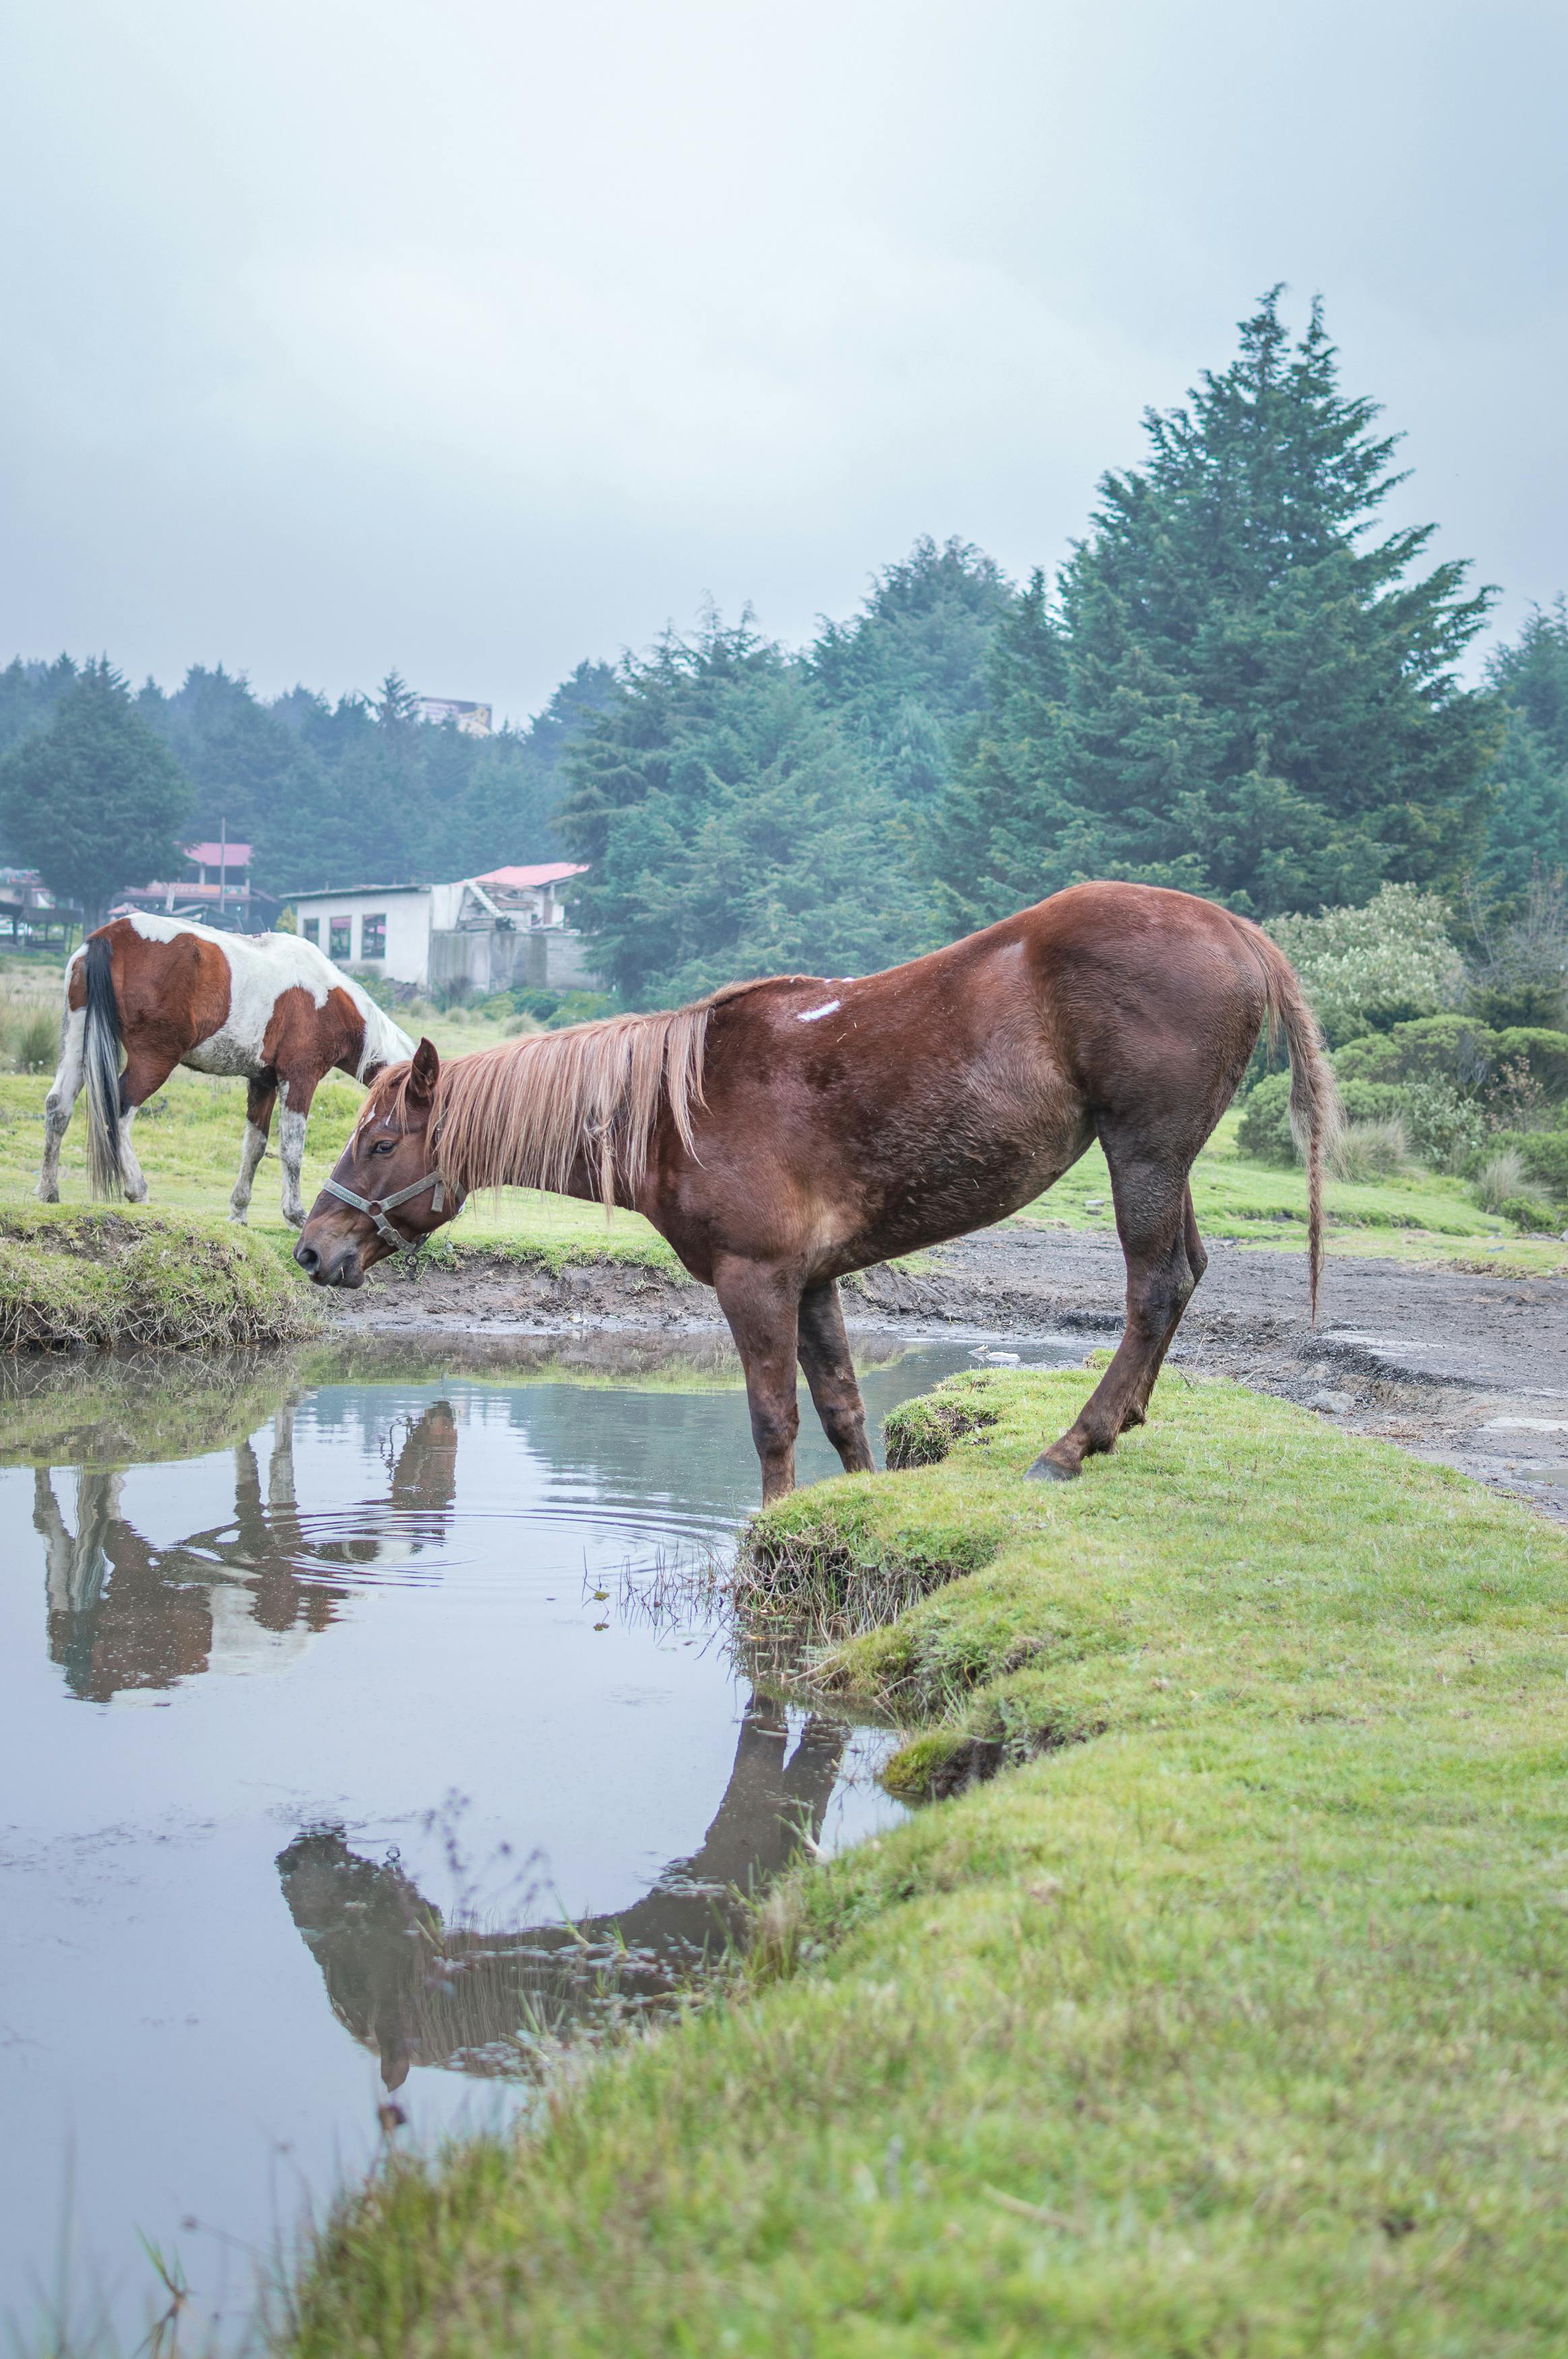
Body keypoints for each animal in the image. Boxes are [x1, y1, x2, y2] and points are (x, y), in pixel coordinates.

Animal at [38, 911, 412, 1227]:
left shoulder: (263, 1082)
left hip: (77, 1042)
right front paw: (296, 1215)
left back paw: (48, 1190)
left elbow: (255, 1147)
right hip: (154, 1060)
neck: (326, 996)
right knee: (117, 1112)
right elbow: (292, 1150)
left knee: (59, 1107)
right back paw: (137, 1189)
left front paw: (239, 1211)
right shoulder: (299, 1079)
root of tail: (108, 937)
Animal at [290, 878, 1329, 1500]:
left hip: (1143, 1154)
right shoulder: (817, 1280)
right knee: (1183, 1276)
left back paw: (1071, 1445)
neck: (674, 1107)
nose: (311, 1246)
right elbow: (840, 1409)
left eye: (379, 1142)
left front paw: (768, 1527)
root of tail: (1232, 929)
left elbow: (772, 1419)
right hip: (1159, 1160)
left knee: (1151, 1288)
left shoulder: (756, 1282)